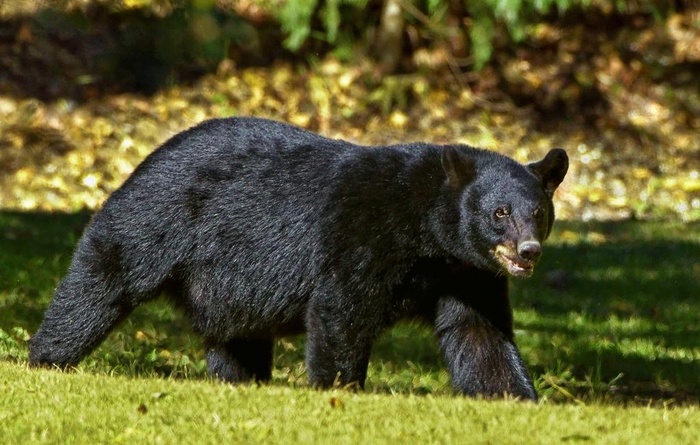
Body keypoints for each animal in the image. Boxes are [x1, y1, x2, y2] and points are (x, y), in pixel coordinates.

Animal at [31, 116, 568, 398]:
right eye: (500, 212)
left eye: (538, 212)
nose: (528, 251)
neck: (427, 232)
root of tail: (146, 156)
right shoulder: (364, 233)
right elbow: (341, 310)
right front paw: (340, 391)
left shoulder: (466, 271)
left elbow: (479, 333)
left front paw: (516, 397)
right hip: (156, 219)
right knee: (102, 280)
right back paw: (46, 358)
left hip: (227, 286)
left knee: (236, 338)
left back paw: (240, 382)